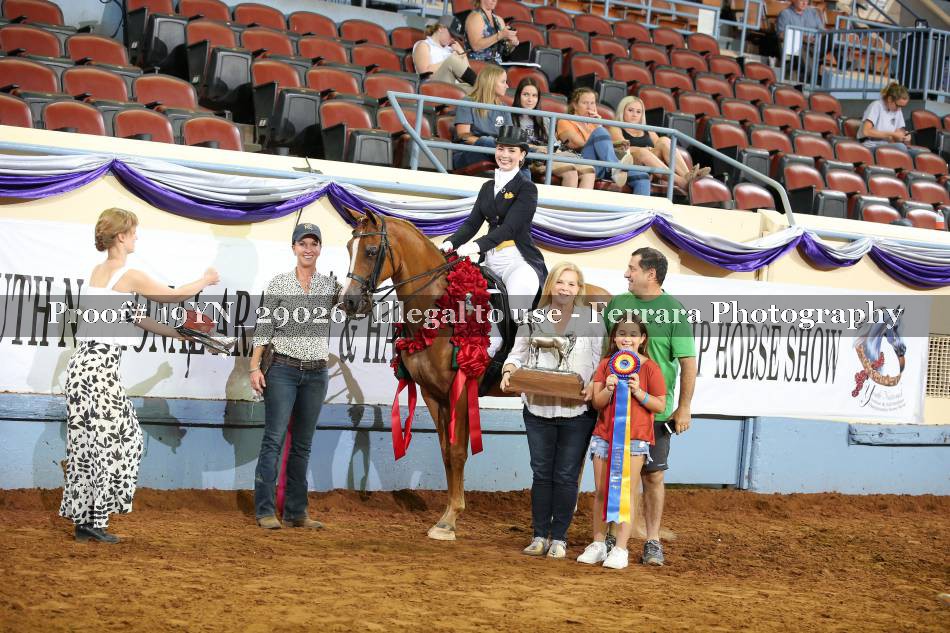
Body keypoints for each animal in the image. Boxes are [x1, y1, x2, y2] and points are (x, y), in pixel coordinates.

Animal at [340, 209, 610, 540]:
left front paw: (449, 520)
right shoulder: (433, 394)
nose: (350, 301)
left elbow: (458, 451)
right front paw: (446, 515)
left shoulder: (460, 388)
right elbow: (446, 452)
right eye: (349, 249)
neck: (439, 308)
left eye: (370, 251)